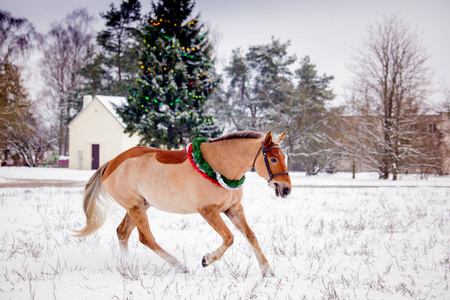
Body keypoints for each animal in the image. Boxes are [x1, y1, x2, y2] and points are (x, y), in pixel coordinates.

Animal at [74, 131, 292, 276]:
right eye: (273, 159)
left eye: (284, 157)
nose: (286, 189)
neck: (219, 166)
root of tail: (110, 163)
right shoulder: (208, 211)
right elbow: (229, 238)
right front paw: (206, 260)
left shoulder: (234, 209)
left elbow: (251, 236)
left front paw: (268, 272)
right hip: (135, 207)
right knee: (146, 238)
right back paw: (180, 266)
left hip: (140, 206)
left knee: (122, 233)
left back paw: (127, 265)